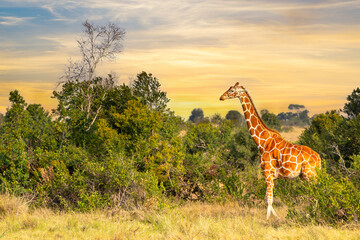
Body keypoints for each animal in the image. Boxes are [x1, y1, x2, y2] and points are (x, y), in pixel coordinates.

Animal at [219, 82, 320, 219]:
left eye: (232, 90)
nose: (221, 97)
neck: (262, 142)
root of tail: (319, 159)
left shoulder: (267, 172)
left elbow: (269, 199)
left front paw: (267, 219)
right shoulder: (273, 175)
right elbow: (267, 198)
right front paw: (275, 217)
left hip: (310, 175)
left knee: (316, 193)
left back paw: (312, 215)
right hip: (305, 176)